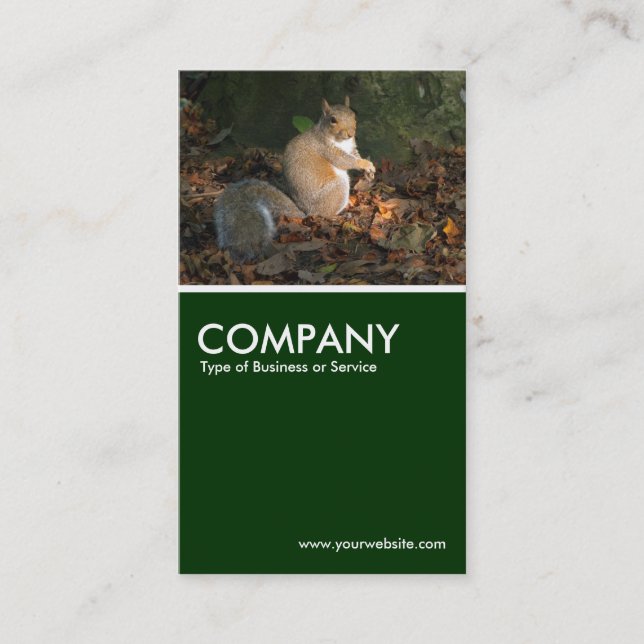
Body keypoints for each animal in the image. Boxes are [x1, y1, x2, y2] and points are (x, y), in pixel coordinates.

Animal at [213, 96, 375, 263]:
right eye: (333, 120)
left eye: (354, 115)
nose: (351, 133)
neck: (341, 141)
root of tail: (307, 212)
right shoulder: (326, 149)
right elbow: (345, 161)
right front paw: (364, 164)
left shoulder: (351, 147)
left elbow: (355, 155)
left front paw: (369, 170)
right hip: (337, 189)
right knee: (325, 213)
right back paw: (337, 215)